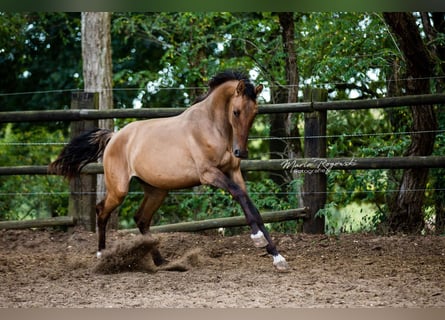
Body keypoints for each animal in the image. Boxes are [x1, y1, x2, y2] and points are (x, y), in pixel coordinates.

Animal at [50, 71, 288, 272]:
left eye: (255, 113)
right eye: (236, 112)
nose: (241, 152)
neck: (212, 126)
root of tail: (114, 136)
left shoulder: (234, 172)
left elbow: (252, 207)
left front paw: (277, 257)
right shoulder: (209, 174)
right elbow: (239, 196)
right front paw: (258, 239)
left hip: (157, 190)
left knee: (141, 219)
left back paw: (160, 261)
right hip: (119, 190)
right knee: (102, 210)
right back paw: (102, 255)